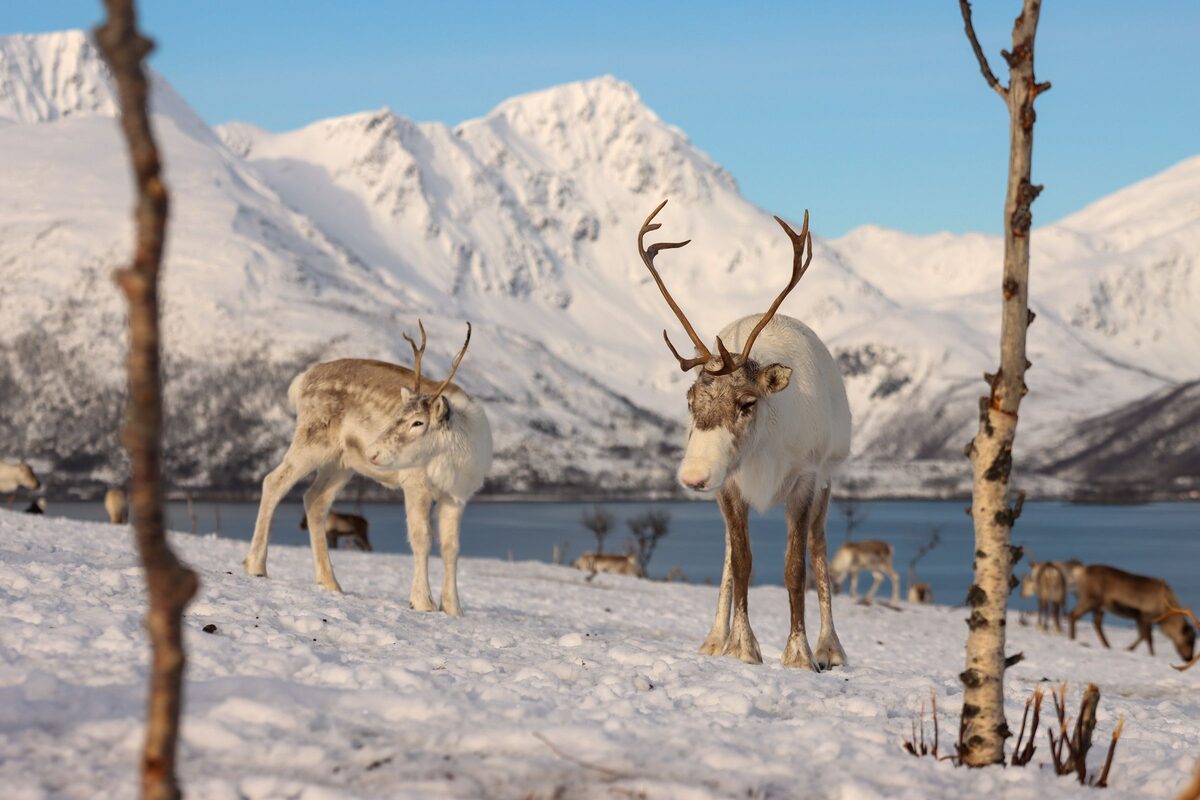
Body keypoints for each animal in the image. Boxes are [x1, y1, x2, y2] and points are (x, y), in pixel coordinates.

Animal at [243, 321, 492, 616]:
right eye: (398, 415)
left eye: (418, 422)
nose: (373, 452)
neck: (457, 458)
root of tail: (300, 381)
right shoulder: (415, 483)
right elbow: (421, 538)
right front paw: (422, 602)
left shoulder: (457, 496)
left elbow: (451, 547)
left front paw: (454, 609)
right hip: (313, 440)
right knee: (274, 481)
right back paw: (255, 565)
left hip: (341, 463)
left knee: (314, 499)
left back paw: (330, 582)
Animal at [634, 200, 851, 671]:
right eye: (691, 399)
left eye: (747, 402)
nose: (693, 475)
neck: (763, 449)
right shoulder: (730, 486)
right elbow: (743, 561)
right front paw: (741, 646)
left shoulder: (805, 480)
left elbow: (795, 567)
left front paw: (800, 653)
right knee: (729, 556)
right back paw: (715, 637)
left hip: (829, 478)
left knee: (820, 548)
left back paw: (831, 648)